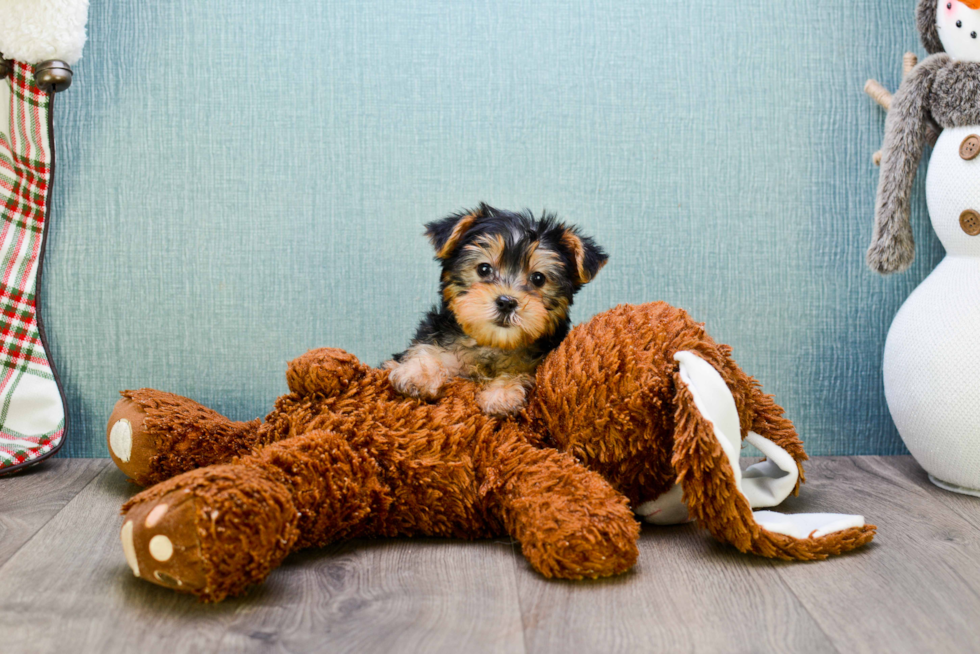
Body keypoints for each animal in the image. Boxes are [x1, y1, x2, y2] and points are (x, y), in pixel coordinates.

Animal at [388, 205, 604, 418]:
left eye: (538, 278)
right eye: (484, 269)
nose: (507, 302)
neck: (492, 344)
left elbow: (520, 371)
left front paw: (502, 394)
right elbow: (427, 349)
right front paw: (419, 374)